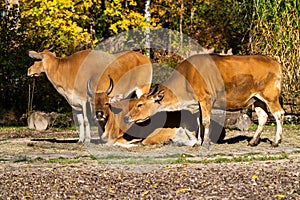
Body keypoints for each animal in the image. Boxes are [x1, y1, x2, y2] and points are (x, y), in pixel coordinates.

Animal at [125, 54, 284, 148]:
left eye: (140, 104)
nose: (127, 117)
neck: (188, 76)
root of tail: (275, 62)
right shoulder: (197, 105)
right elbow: (199, 123)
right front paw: (198, 142)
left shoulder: (206, 99)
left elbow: (206, 122)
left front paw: (206, 142)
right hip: (257, 99)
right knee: (263, 117)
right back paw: (252, 141)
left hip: (270, 96)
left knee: (279, 114)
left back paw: (276, 141)